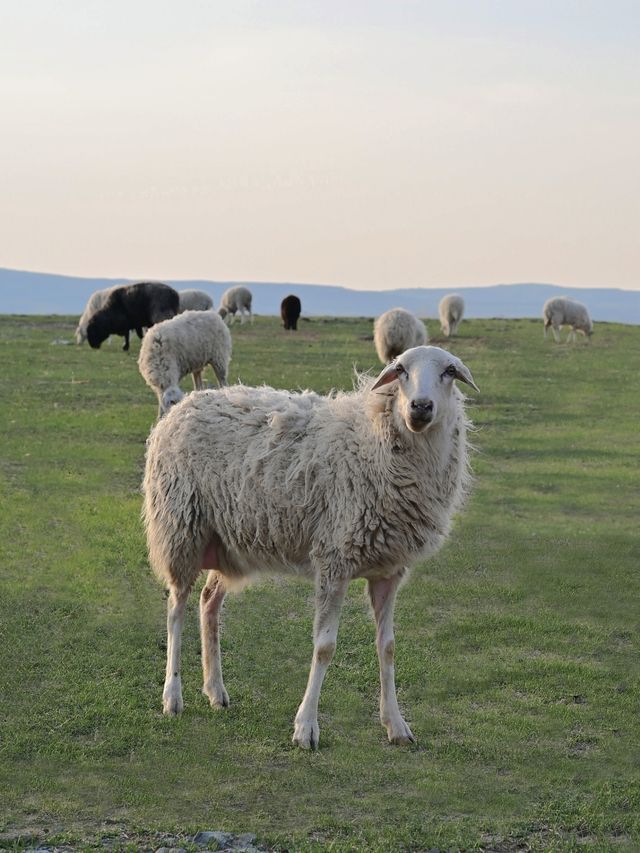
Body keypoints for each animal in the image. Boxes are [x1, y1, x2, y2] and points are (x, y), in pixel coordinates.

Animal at [142, 342, 478, 748]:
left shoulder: (389, 571)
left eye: (449, 371)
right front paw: (306, 727)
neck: (372, 439)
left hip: (228, 542)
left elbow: (388, 647)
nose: (421, 407)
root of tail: (184, 404)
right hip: (181, 528)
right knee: (175, 610)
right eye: (400, 370)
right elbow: (324, 646)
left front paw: (396, 725)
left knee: (208, 603)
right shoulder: (334, 559)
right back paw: (172, 696)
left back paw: (216, 691)